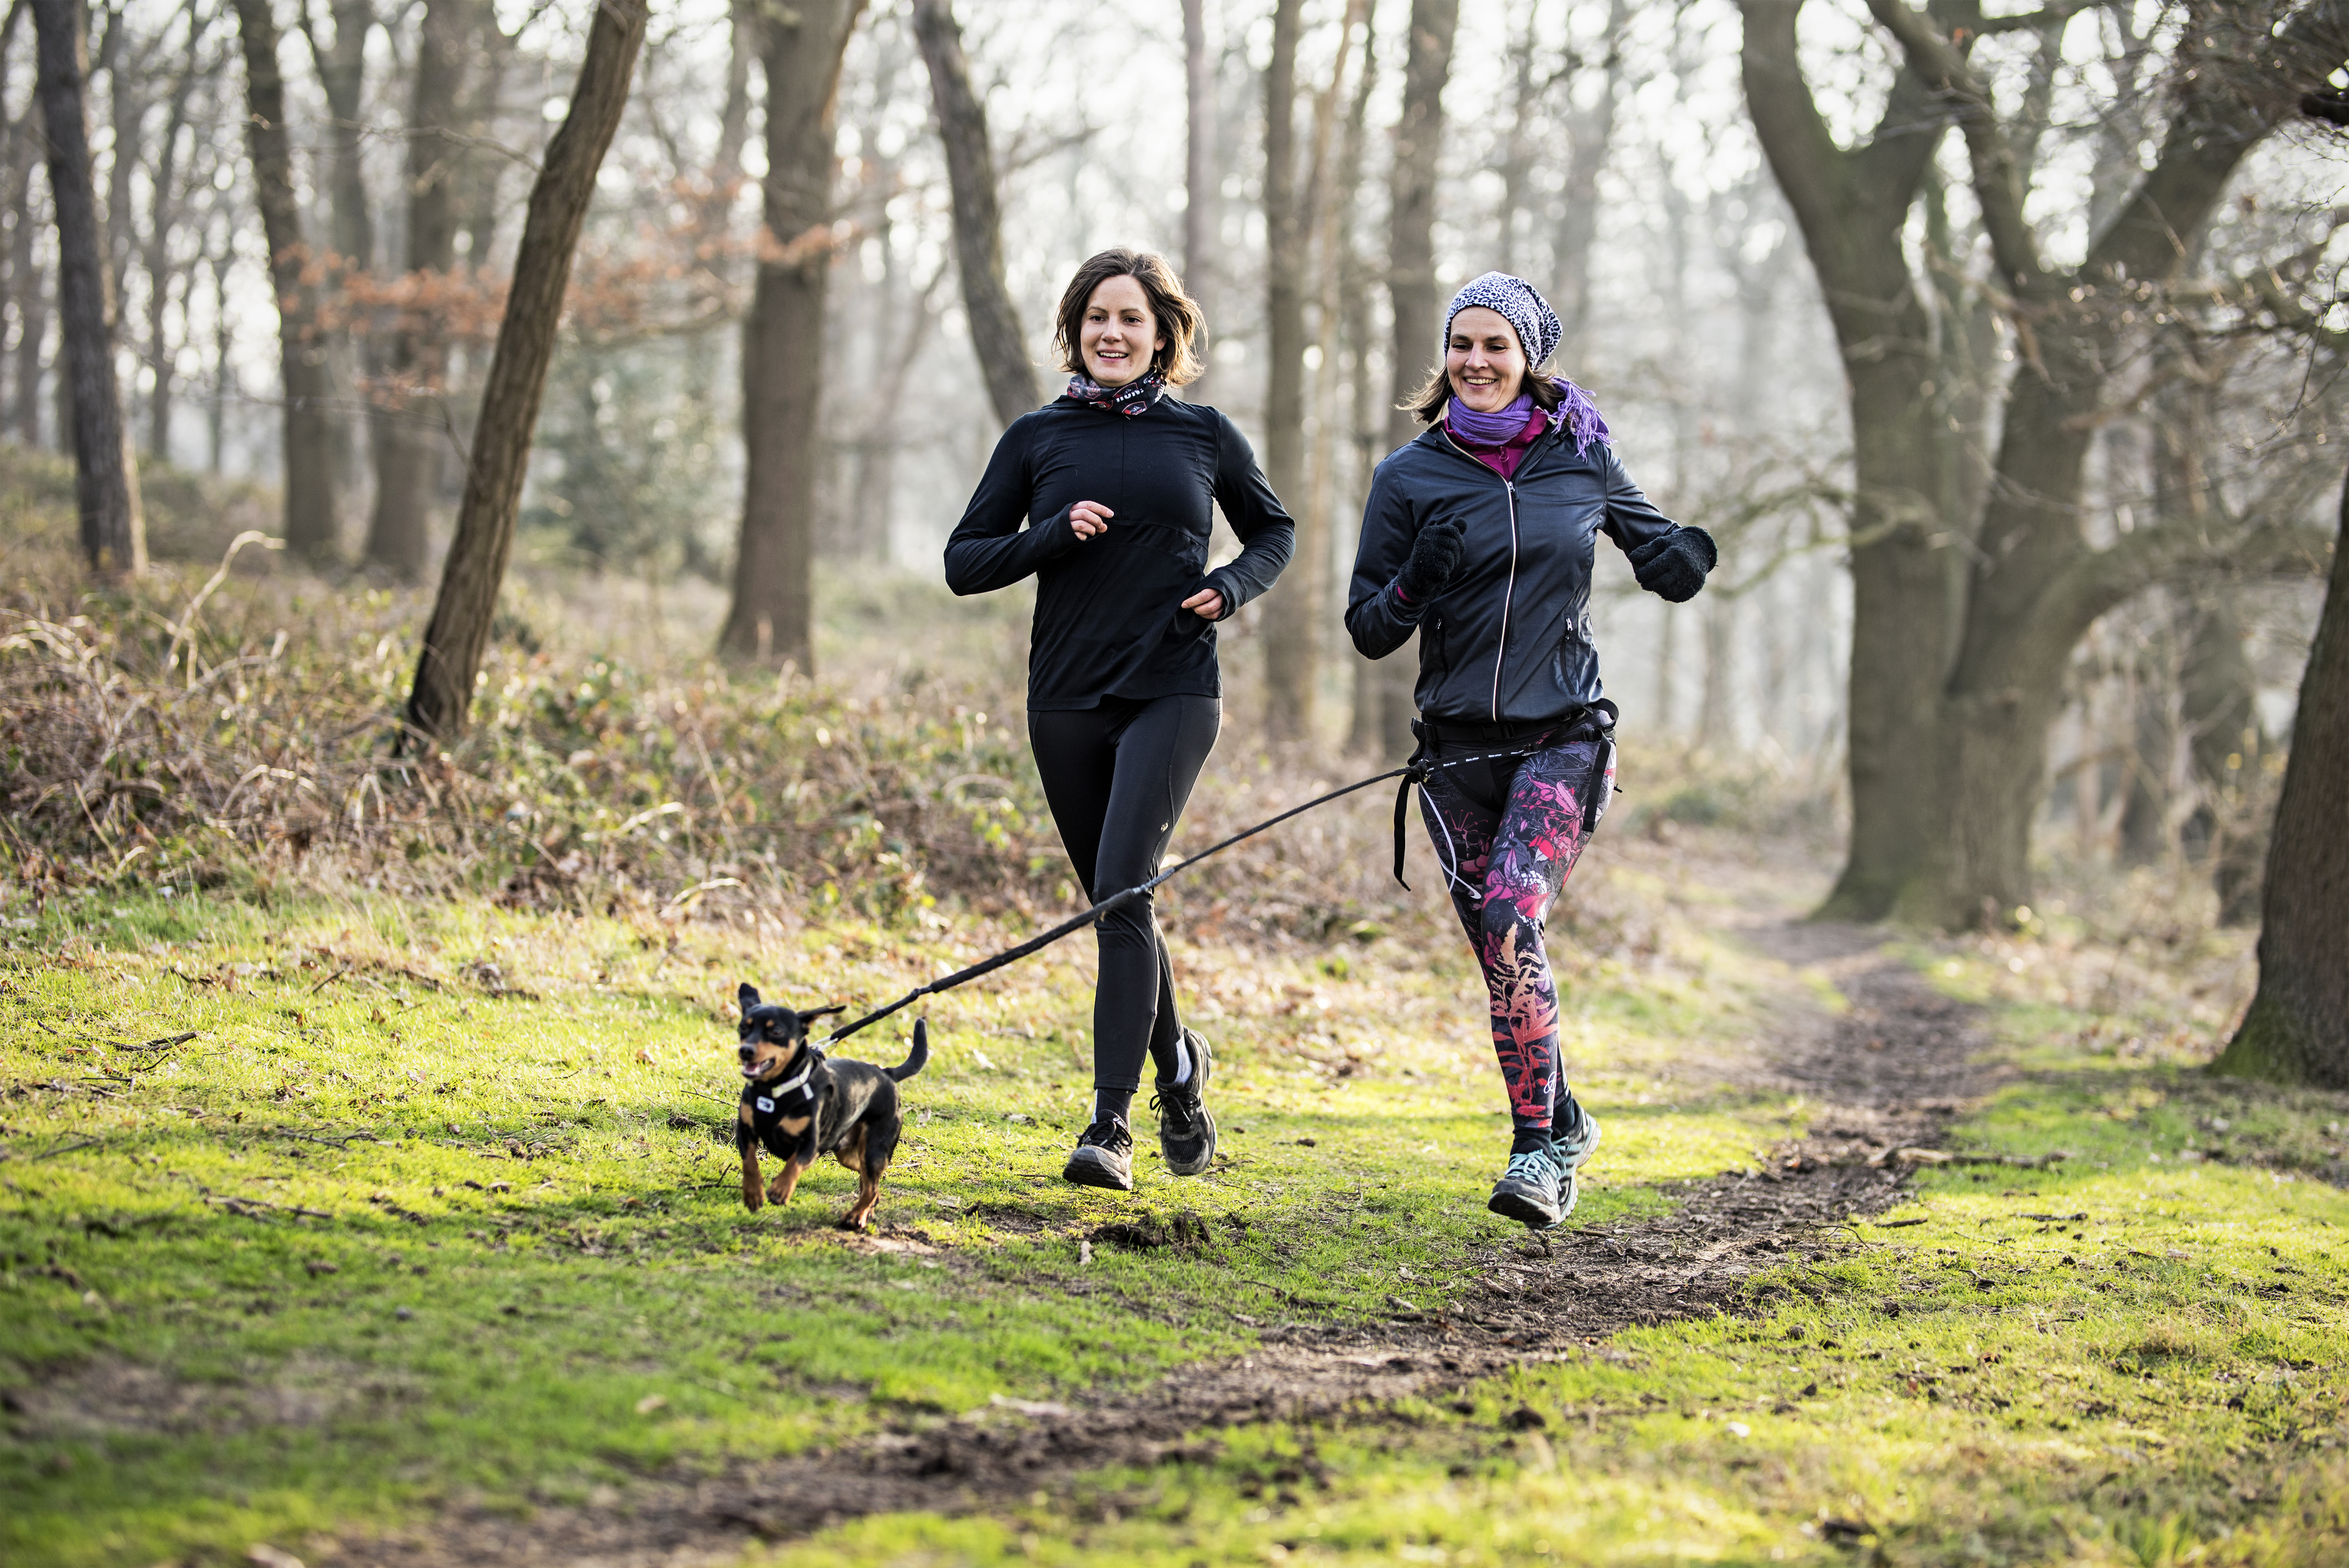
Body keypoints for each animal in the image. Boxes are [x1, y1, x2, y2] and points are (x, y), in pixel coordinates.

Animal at [733, 986, 925, 1230]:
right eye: (743, 1027)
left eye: (776, 1031)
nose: (745, 1051)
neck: (775, 1091)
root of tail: (887, 1073)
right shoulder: (745, 1130)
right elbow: (749, 1161)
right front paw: (753, 1193)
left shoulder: (810, 1144)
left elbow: (794, 1164)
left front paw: (781, 1189)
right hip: (850, 1155)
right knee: (871, 1186)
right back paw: (865, 1212)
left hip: (874, 1152)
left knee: (871, 1188)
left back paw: (856, 1216)